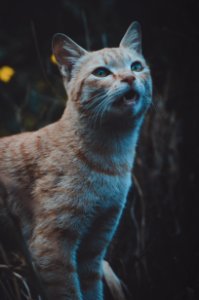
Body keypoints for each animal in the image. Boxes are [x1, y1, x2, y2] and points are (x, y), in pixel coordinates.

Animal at [0, 21, 152, 300]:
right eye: (101, 72)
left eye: (136, 66)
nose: (129, 78)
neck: (111, 157)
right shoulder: (52, 247)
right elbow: (70, 292)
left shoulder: (94, 249)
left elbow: (92, 290)